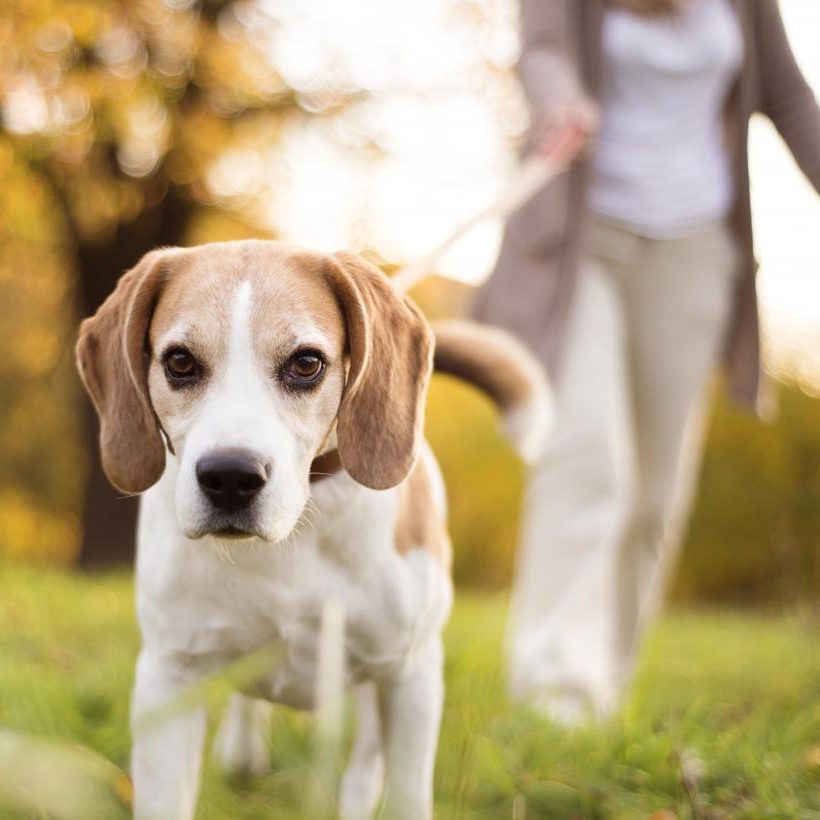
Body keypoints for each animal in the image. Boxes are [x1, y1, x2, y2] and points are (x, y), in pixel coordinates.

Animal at [77, 242, 552, 820]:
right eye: (180, 362)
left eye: (306, 363)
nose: (230, 477)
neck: (296, 533)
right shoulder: (169, 677)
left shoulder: (410, 675)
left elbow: (406, 795)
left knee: (366, 762)